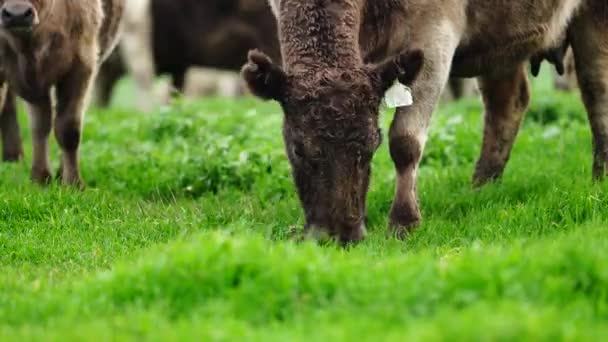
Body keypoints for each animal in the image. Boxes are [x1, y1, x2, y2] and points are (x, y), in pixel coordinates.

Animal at [0, 0, 124, 187]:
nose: (17, 14)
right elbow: (40, 126)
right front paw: (40, 179)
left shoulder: (81, 66)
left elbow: (68, 129)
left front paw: (74, 183)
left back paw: (58, 173)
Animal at [243, 0, 608, 243]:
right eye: (298, 149)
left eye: (372, 146)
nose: (341, 236)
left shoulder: (434, 36)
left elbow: (405, 140)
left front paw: (403, 222)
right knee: (508, 101)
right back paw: (481, 186)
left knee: (596, 90)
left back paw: (600, 179)